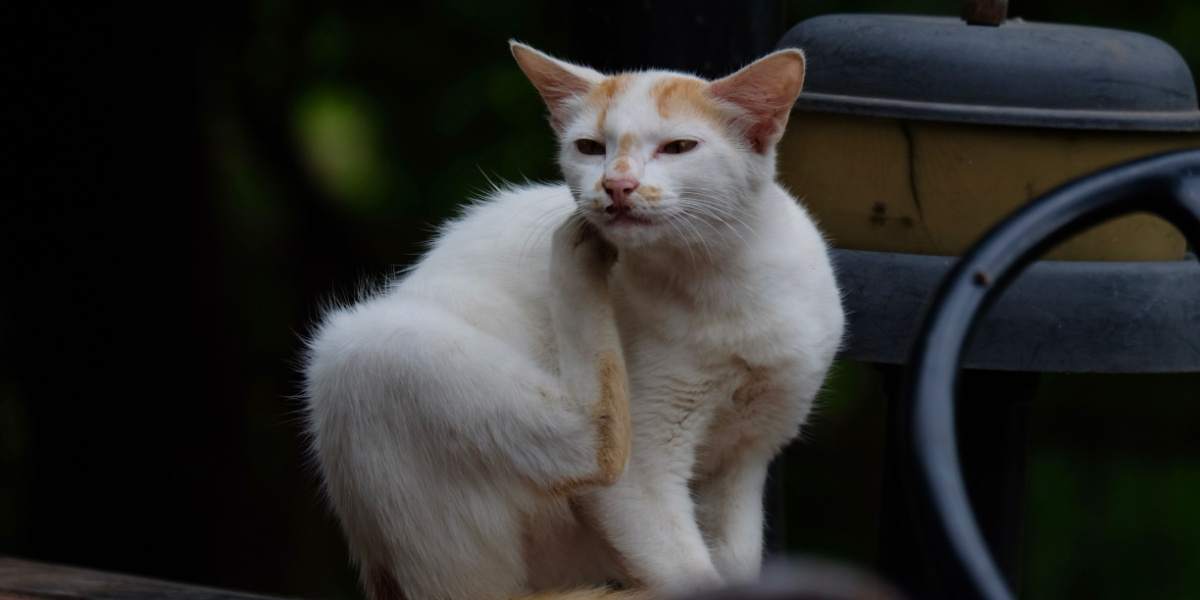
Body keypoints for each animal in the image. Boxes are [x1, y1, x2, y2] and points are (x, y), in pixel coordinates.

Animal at [300, 42, 844, 600]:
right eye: (589, 147)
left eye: (679, 147)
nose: (616, 184)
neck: (723, 282)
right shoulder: (644, 477)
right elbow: (687, 571)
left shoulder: (744, 462)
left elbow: (734, 562)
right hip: (360, 350)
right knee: (594, 448)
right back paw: (575, 247)